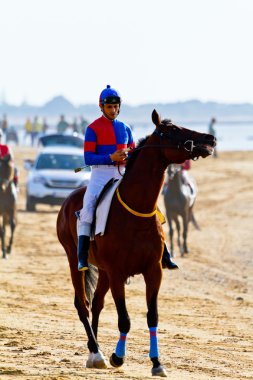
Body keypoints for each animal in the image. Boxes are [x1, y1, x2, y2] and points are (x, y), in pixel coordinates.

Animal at [55, 110, 215, 378]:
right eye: (172, 130)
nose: (210, 138)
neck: (136, 209)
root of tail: (68, 200)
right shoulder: (118, 273)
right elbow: (125, 319)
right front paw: (117, 356)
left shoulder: (153, 271)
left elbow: (152, 316)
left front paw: (157, 362)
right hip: (74, 260)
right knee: (83, 304)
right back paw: (96, 352)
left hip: (104, 271)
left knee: (97, 304)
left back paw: (95, 350)